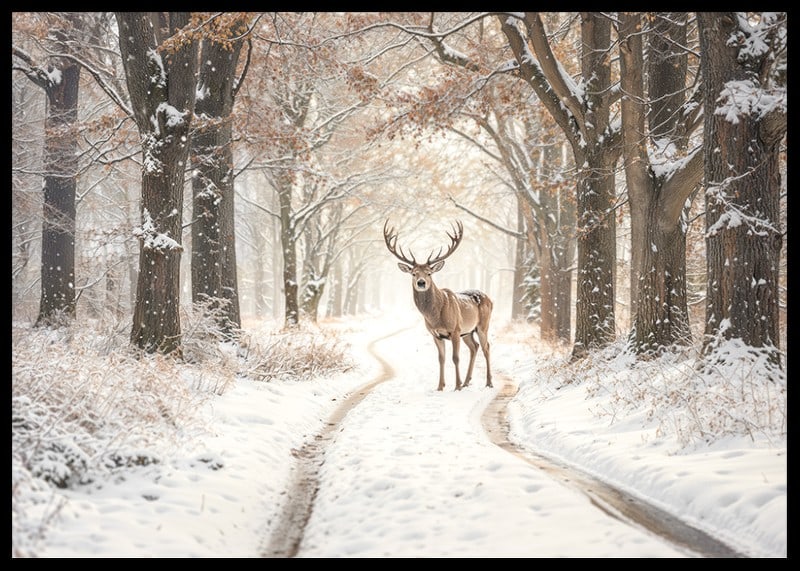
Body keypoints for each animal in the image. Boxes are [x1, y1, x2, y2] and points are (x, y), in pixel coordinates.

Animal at [383, 220, 493, 392]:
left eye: (429, 273)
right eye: (413, 273)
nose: (421, 282)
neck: (435, 317)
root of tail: (490, 299)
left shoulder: (455, 329)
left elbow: (455, 358)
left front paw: (456, 386)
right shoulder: (435, 334)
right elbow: (441, 358)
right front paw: (440, 386)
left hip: (483, 325)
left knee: (486, 347)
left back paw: (488, 382)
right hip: (468, 331)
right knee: (474, 347)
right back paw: (467, 381)